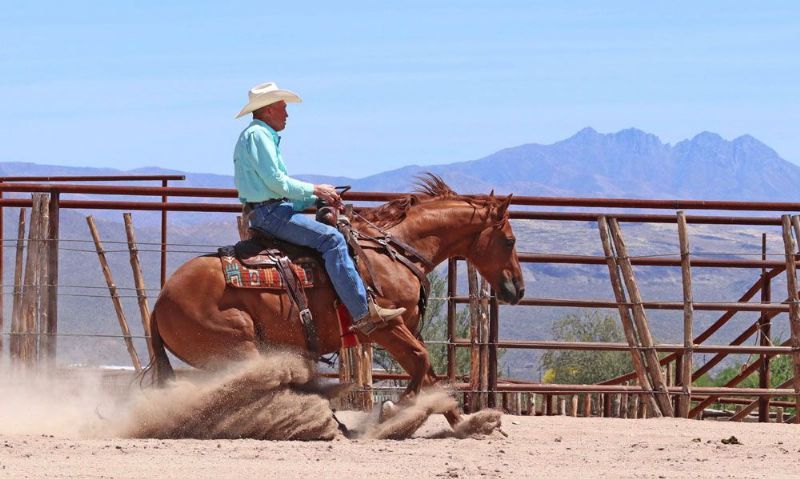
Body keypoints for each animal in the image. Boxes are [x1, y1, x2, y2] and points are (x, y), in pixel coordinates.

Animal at [146, 175, 524, 429]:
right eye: (509, 240)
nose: (517, 289)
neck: (391, 252)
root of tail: (161, 301)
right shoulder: (386, 326)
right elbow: (421, 360)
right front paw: (393, 412)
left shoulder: (403, 329)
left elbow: (430, 374)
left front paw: (463, 423)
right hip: (239, 347)